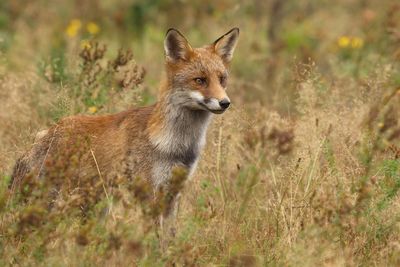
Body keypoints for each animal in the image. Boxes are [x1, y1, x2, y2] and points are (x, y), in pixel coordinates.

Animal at [10, 27, 241, 214]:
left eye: (222, 79)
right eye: (200, 80)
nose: (225, 103)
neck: (175, 145)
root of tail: (45, 133)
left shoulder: (172, 193)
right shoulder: (148, 191)